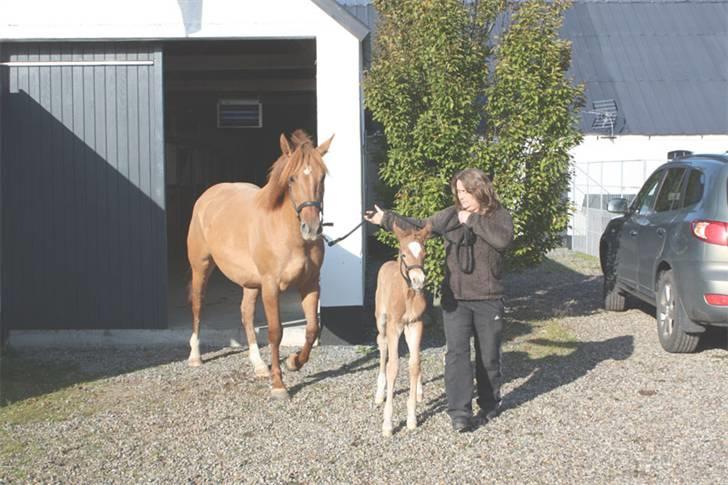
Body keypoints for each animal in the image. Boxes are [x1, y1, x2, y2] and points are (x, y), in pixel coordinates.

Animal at [188, 130, 336, 398]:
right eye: (291, 178)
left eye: (322, 177)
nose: (311, 229)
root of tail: (207, 195)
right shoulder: (270, 286)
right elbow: (275, 332)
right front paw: (278, 384)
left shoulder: (310, 284)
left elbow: (311, 328)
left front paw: (294, 362)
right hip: (201, 267)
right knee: (198, 305)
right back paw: (195, 356)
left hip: (250, 283)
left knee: (246, 314)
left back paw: (258, 365)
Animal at [376, 221, 432, 432]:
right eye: (404, 254)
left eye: (425, 254)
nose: (418, 281)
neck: (407, 295)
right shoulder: (394, 326)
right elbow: (393, 366)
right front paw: (387, 424)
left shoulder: (416, 324)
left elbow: (414, 364)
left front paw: (412, 418)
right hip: (381, 319)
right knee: (382, 344)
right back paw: (379, 392)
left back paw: (419, 391)